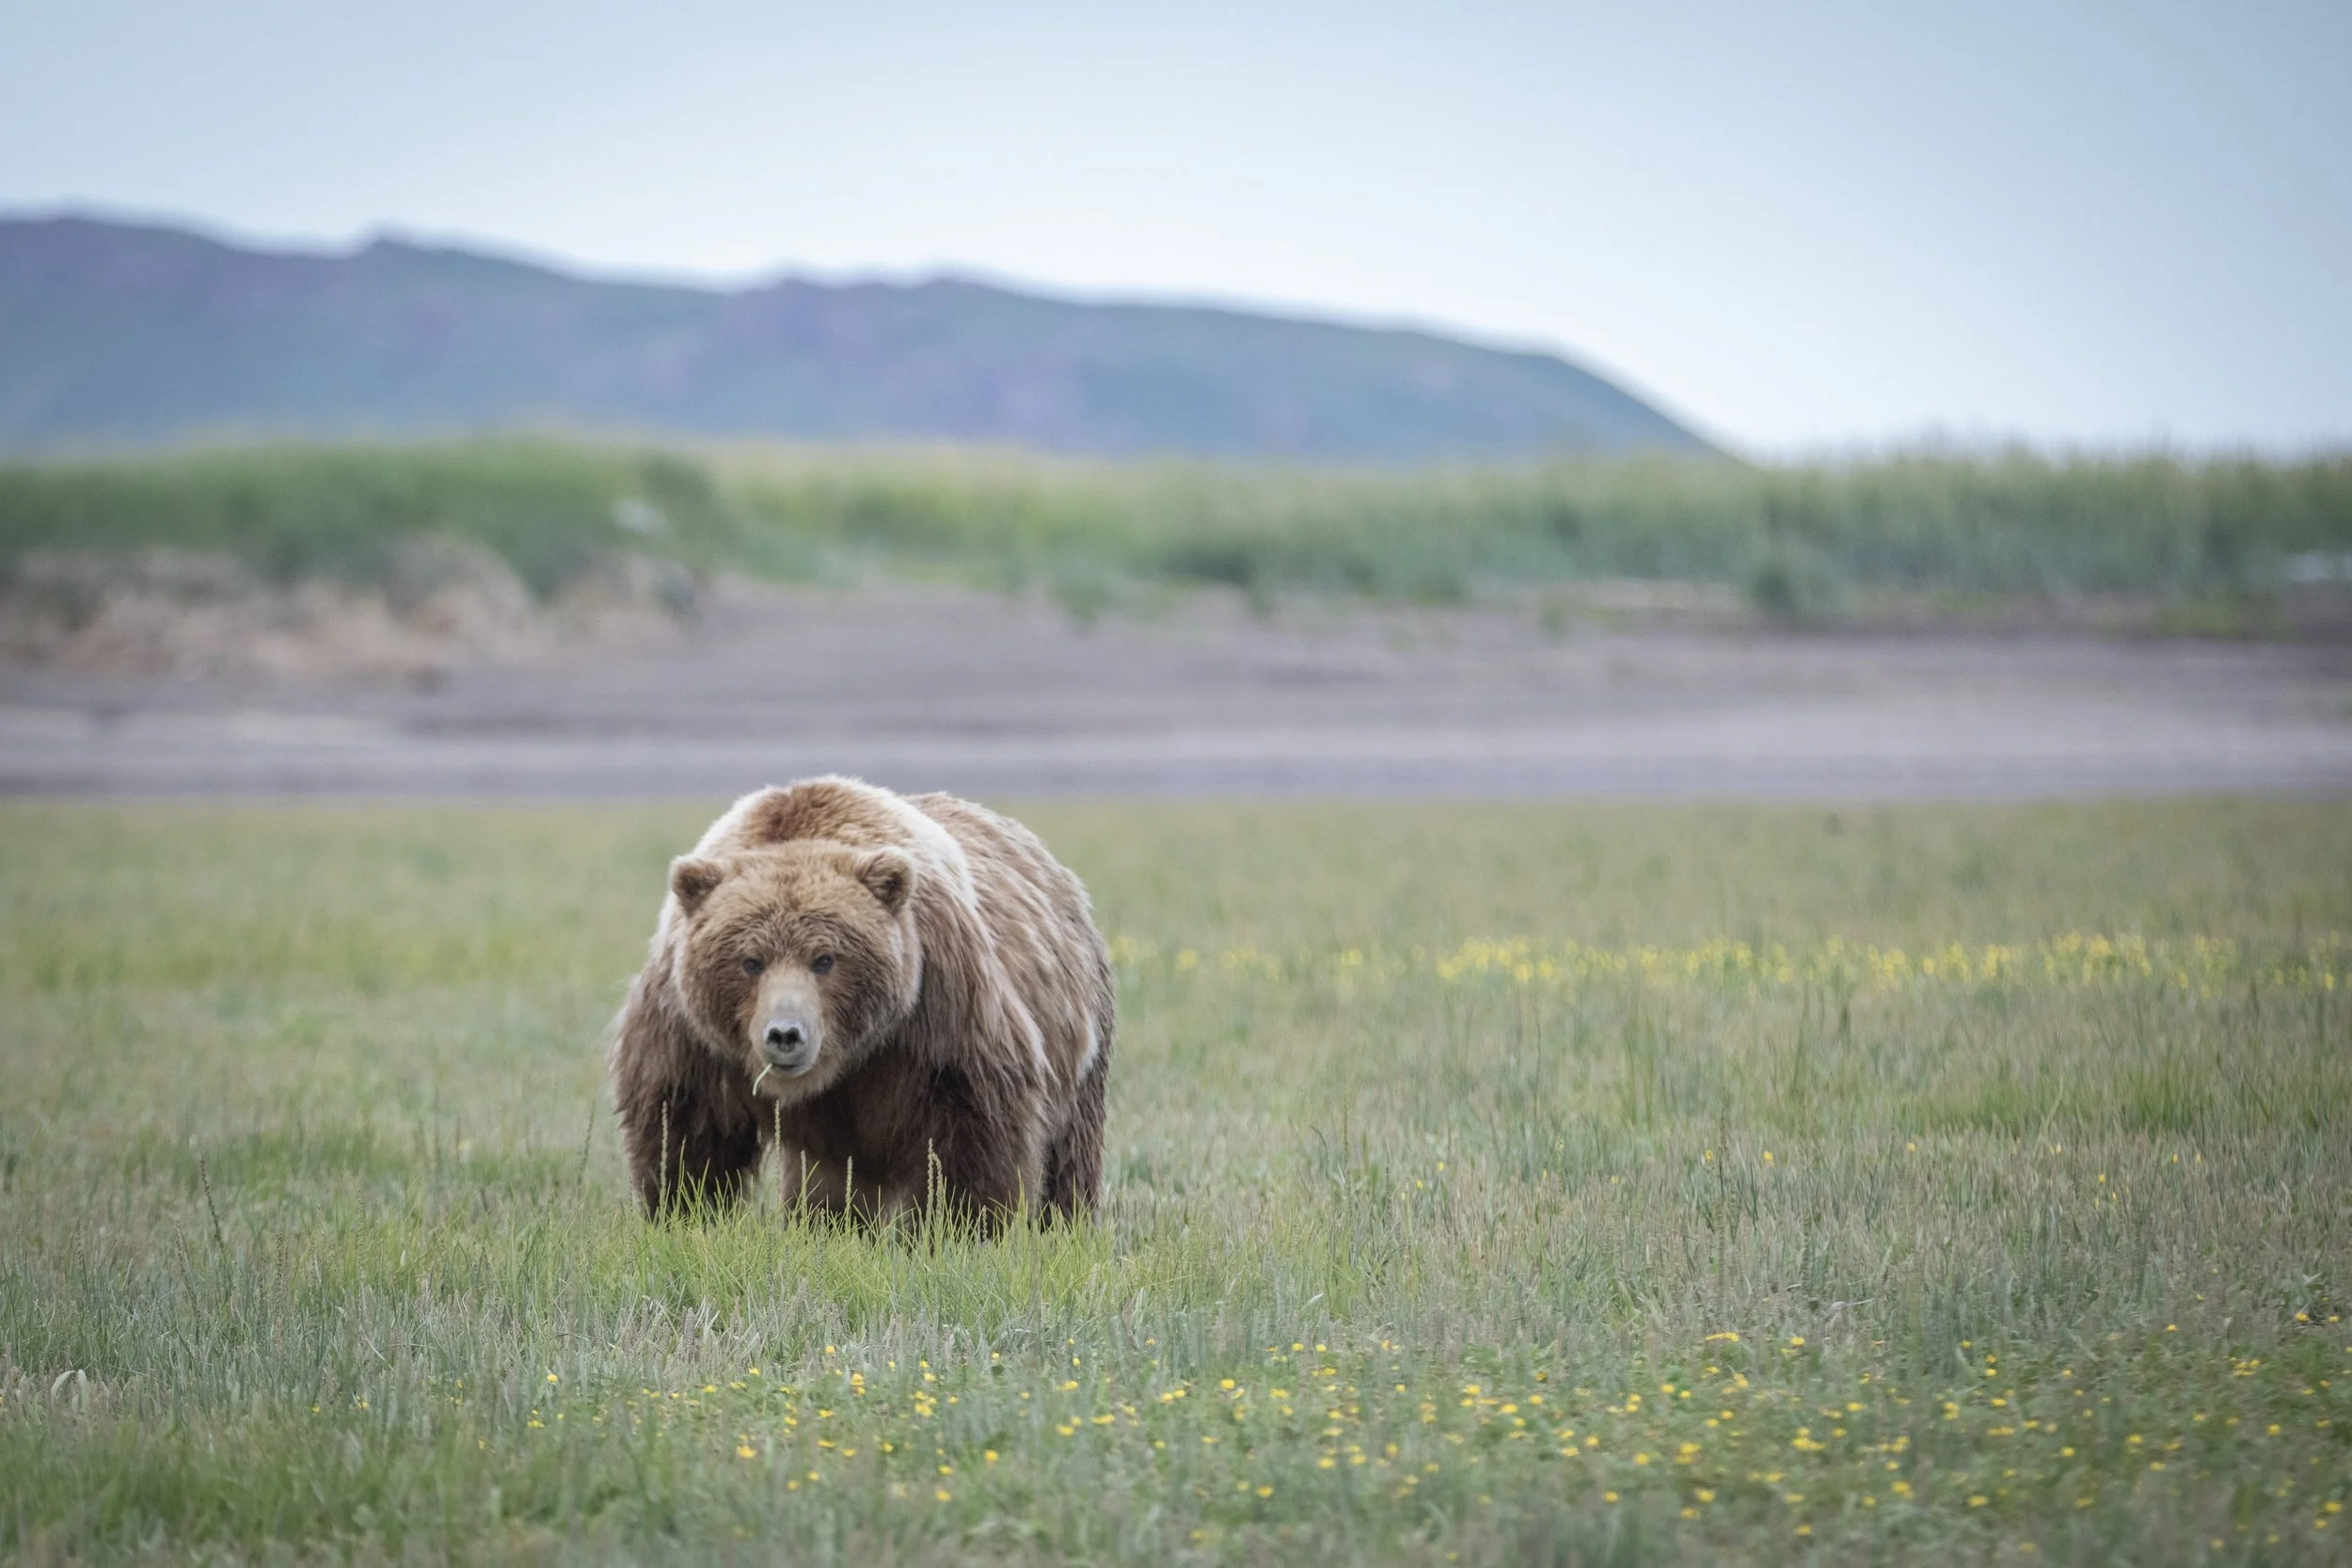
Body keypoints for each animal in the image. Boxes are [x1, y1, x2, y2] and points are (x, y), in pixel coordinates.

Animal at [607, 775, 1113, 1230]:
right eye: (750, 961)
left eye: (825, 959)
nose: (785, 1034)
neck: (843, 1062)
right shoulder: (690, 1030)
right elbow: (686, 1130)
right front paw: (681, 1215)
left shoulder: (939, 1005)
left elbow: (970, 1128)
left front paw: (960, 1231)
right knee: (828, 1181)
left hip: (1078, 1033)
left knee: (1069, 1152)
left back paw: (1063, 1226)